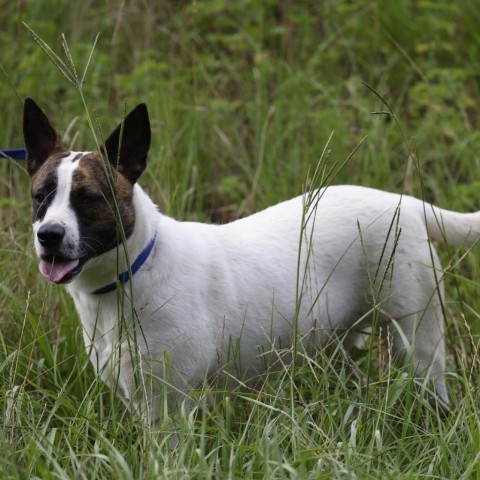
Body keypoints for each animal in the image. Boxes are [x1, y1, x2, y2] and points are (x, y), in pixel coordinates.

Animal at [23, 98, 480, 420]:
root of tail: (406, 202)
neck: (133, 271)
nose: (49, 236)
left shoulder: (171, 404)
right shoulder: (140, 399)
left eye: (89, 199)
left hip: (417, 342)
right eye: (40, 196)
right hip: (334, 343)